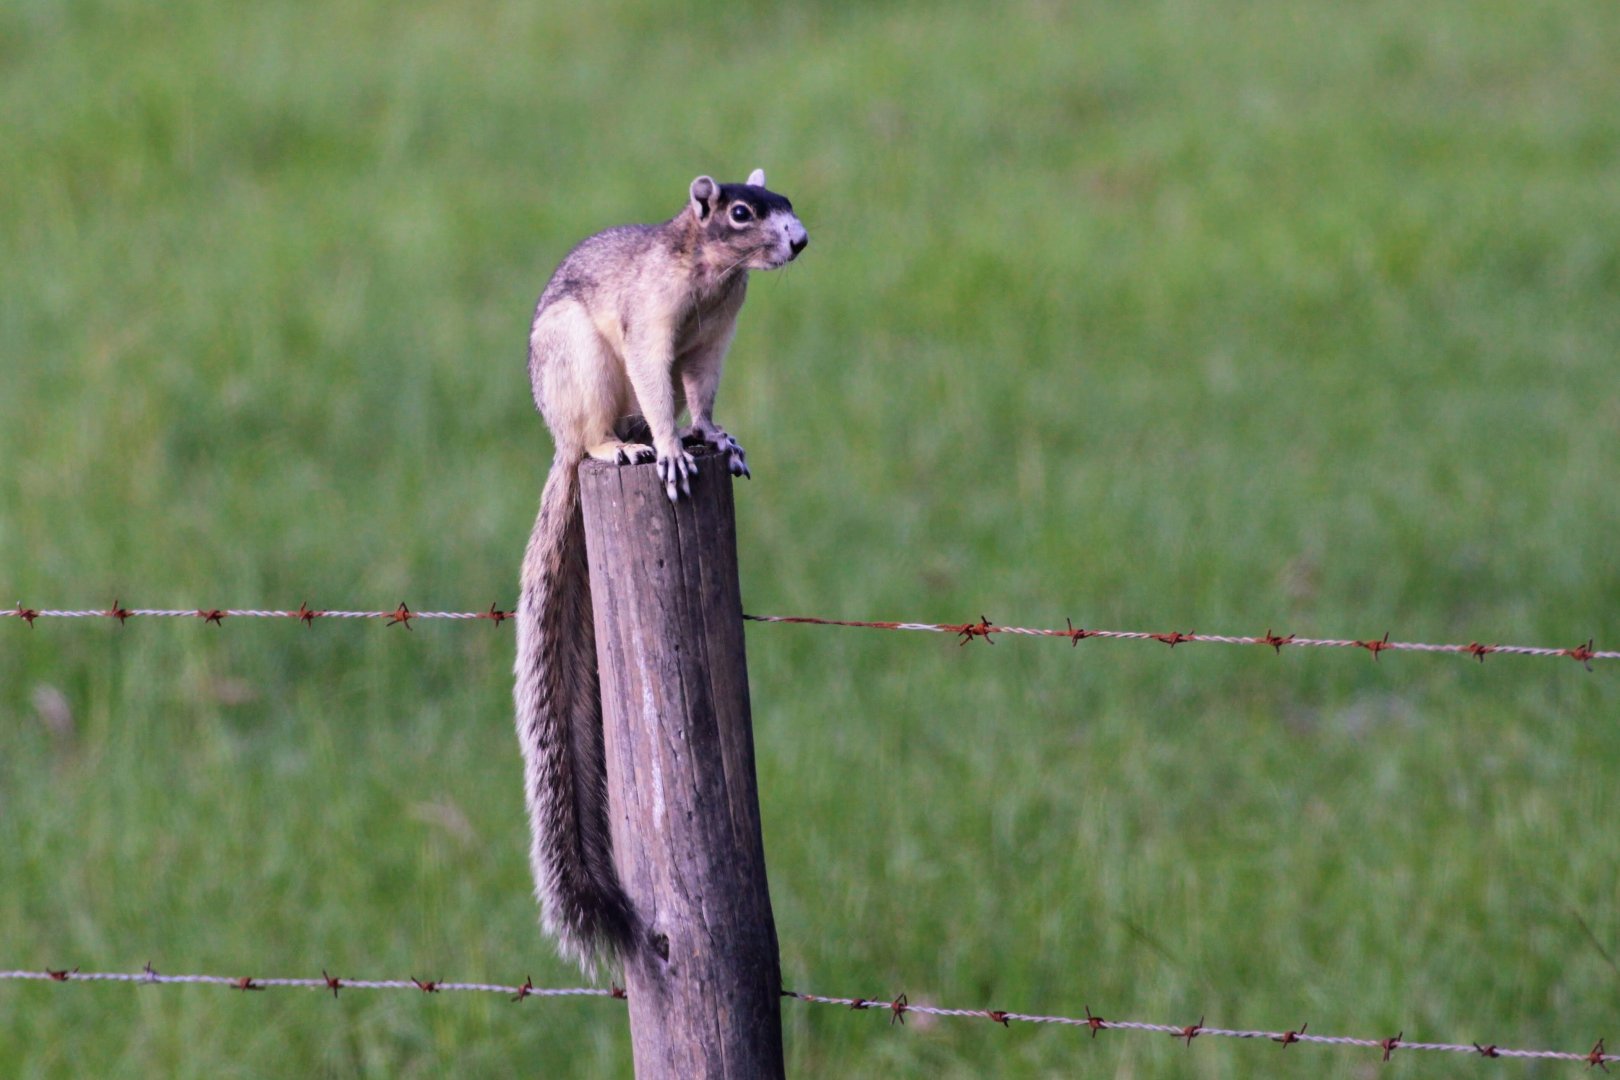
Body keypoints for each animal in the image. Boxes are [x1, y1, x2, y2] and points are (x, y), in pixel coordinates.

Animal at [514, 169, 808, 969]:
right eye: (740, 213)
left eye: (787, 204)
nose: (800, 240)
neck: (714, 275)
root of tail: (559, 440)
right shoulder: (650, 322)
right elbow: (655, 375)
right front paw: (676, 450)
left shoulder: (713, 339)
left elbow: (699, 391)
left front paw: (711, 436)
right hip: (581, 368)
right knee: (598, 432)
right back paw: (626, 446)